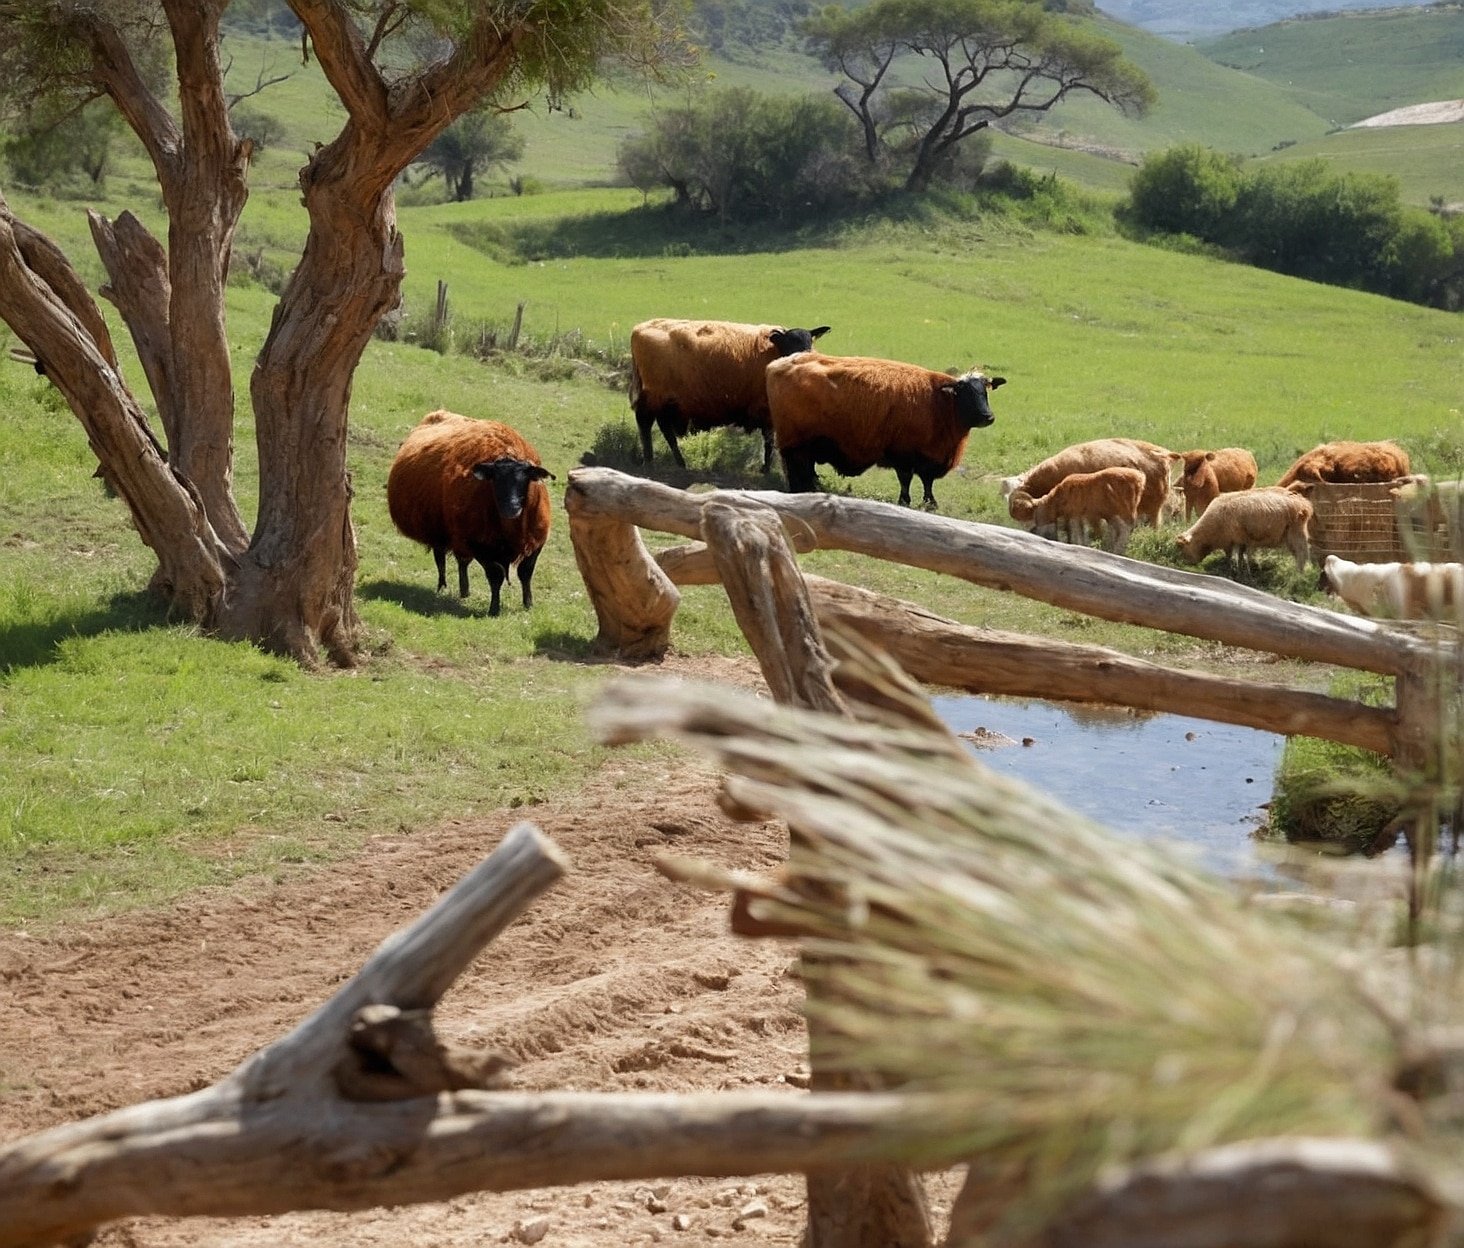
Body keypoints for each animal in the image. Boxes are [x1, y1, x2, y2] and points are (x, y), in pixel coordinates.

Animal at [386, 410, 553, 617]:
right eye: (496, 480)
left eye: (525, 480)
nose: (512, 508)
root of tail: (439, 413)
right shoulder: (477, 544)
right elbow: (496, 575)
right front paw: (494, 609)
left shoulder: (536, 542)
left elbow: (525, 572)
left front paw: (528, 604)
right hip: (440, 530)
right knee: (441, 558)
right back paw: (443, 587)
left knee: (461, 561)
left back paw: (464, 591)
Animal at [629, 318, 830, 472]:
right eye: (788, 343)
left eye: (809, 342)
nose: (803, 358)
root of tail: (639, 329)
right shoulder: (767, 410)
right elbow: (769, 441)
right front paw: (766, 469)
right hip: (655, 395)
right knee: (645, 422)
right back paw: (650, 461)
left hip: (666, 399)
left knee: (664, 428)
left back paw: (678, 463)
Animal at [765, 354, 1004, 509]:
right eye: (964, 391)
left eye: (986, 391)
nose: (988, 417)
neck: (939, 403)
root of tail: (778, 365)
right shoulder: (904, 453)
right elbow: (906, 479)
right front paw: (905, 501)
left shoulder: (929, 455)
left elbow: (927, 481)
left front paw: (930, 503)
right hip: (796, 441)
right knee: (796, 467)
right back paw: (801, 489)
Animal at [1006, 466, 1146, 553]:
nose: (1031, 531)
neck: (1056, 499)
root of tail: (1139, 477)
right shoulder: (1078, 514)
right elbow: (1081, 532)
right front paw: (1083, 545)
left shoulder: (1074, 513)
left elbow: (1076, 533)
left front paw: (1077, 545)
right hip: (1113, 512)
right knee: (1119, 529)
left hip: (1122, 510)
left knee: (1125, 529)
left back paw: (1117, 550)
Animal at [1175, 487, 1313, 573]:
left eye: (1182, 548)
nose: (1186, 563)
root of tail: (1303, 503)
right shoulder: (1239, 540)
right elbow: (1240, 554)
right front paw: (1240, 567)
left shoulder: (1236, 538)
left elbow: (1234, 555)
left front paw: (1236, 569)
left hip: (1296, 533)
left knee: (1302, 554)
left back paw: (1298, 574)